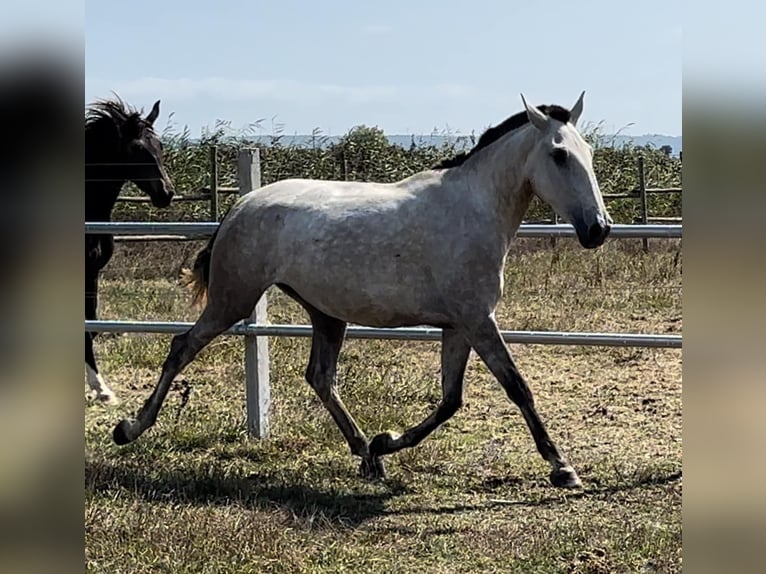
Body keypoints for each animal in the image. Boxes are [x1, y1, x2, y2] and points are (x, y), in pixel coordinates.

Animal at [86, 98, 175, 404]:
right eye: (136, 148)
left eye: (160, 145)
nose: (166, 193)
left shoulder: (91, 273)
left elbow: (91, 325)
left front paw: (101, 389)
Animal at [114, 93, 616, 490]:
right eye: (559, 155)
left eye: (589, 151)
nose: (599, 230)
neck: (472, 209)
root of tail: (239, 206)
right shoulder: (477, 320)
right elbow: (517, 388)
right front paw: (562, 468)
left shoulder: (459, 325)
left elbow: (450, 400)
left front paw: (385, 441)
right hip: (231, 300)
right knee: (182, 346)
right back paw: (129, 428)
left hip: (325, 313)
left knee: (320, 376)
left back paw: (368, 455)